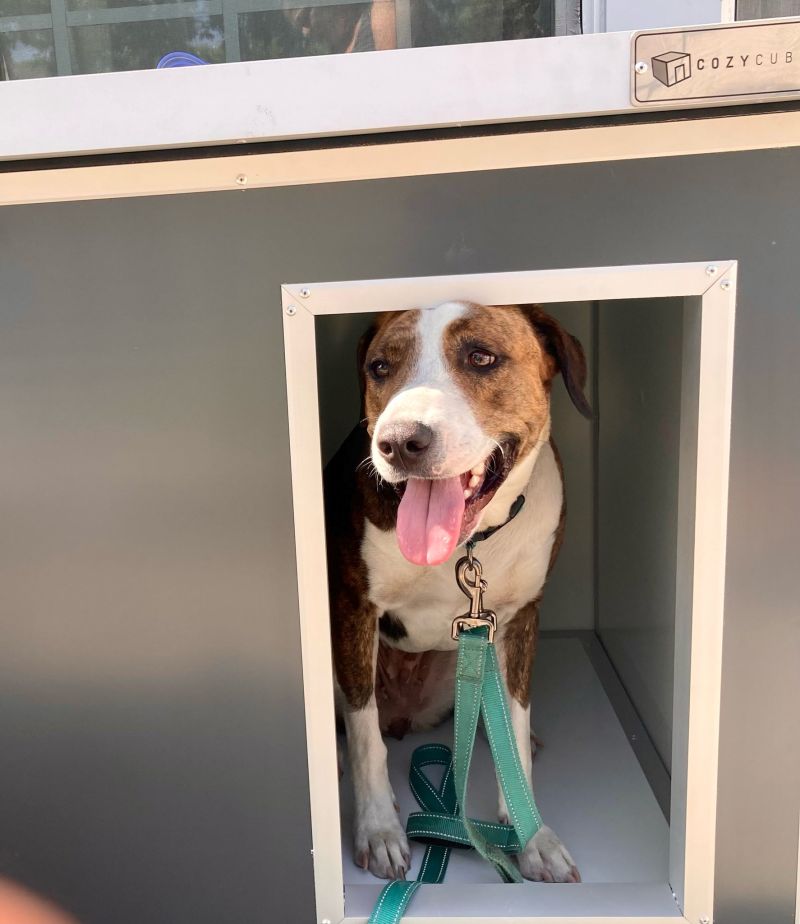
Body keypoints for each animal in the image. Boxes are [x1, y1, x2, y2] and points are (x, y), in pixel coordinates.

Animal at [322, 300, 592, 884]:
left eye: (481, 357)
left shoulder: (519, 618)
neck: (467, 544)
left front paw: (531, 834)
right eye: (380, 367)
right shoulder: (353, 606)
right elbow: (364, 735)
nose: (400, 441)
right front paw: (378, 831)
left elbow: (514, 727)